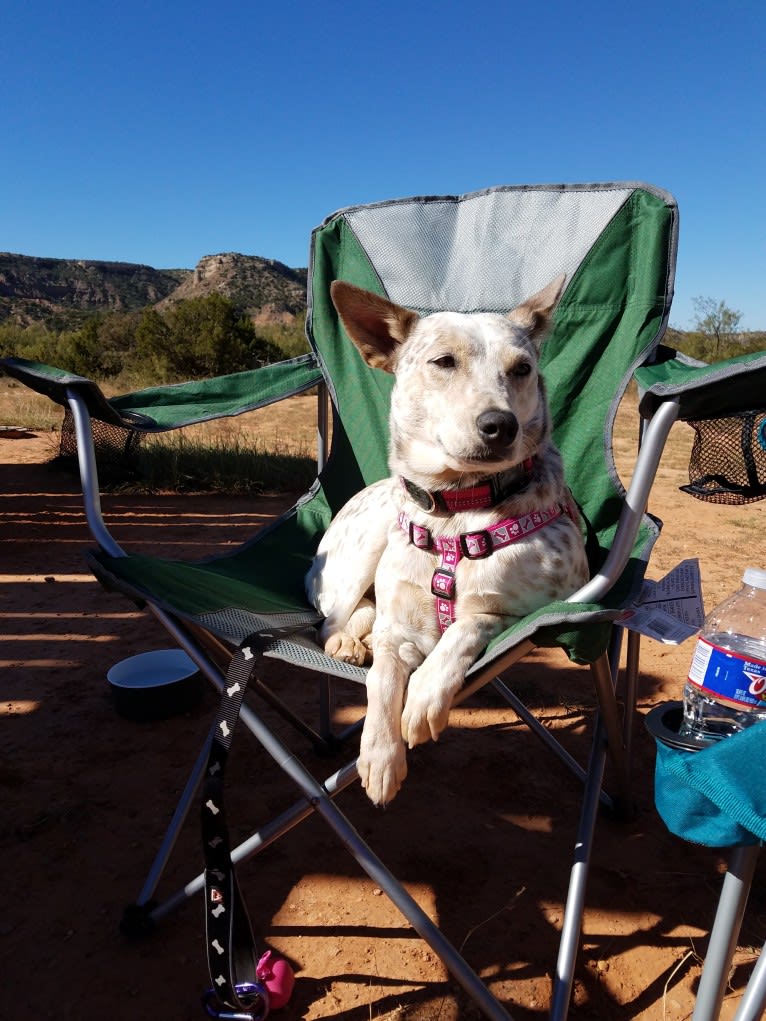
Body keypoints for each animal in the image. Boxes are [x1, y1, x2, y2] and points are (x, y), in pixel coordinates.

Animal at [304, 277, 588, 804]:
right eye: (443, 362)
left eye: (522, 369)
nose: (500, 425)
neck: (459, 511)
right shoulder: (399, 631)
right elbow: (382, 680)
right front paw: (380, 754)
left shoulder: (534, 609)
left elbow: (468, 625)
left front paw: (422, 698)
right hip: (360, 553)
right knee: (330, 622)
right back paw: (348, 643)